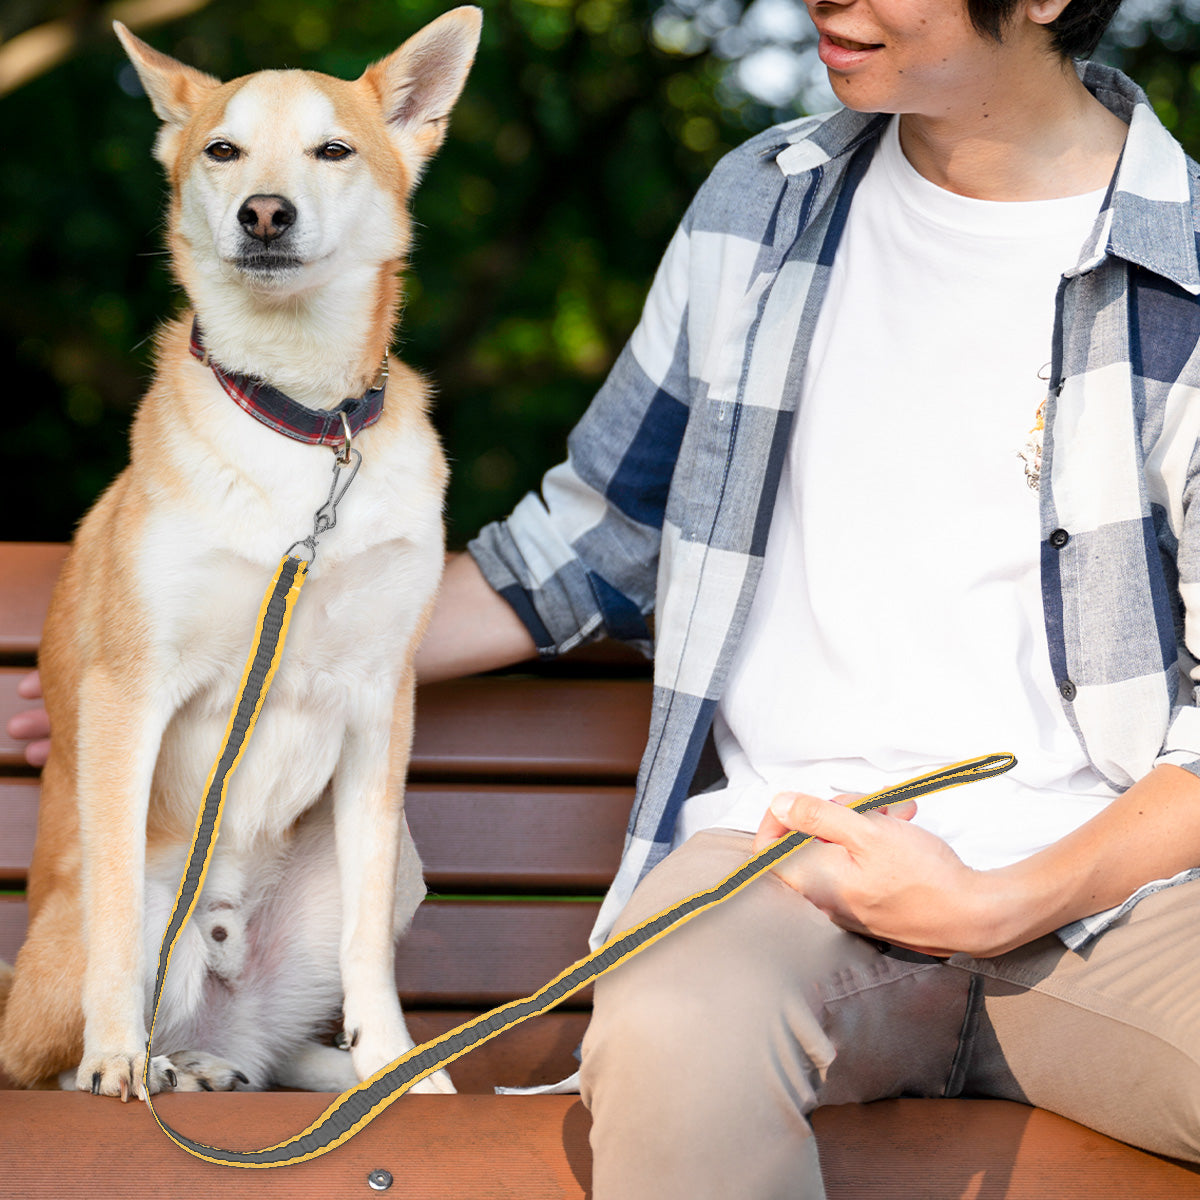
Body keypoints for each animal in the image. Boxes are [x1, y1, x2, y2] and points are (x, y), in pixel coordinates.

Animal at [0, 9, 477, 1099]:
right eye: (222, 150)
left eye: (333, 151)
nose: (264, 212)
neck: (301, 423)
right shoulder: (129, 691)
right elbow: (115, 930)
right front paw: (114, 1057)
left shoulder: (380, 706)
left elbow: (366, 949)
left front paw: (393, 1061)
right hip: (91, 936)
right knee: (47, 1050)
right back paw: (148, 1064)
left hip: (389, 868)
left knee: (269, 1051)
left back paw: (260, 1070)